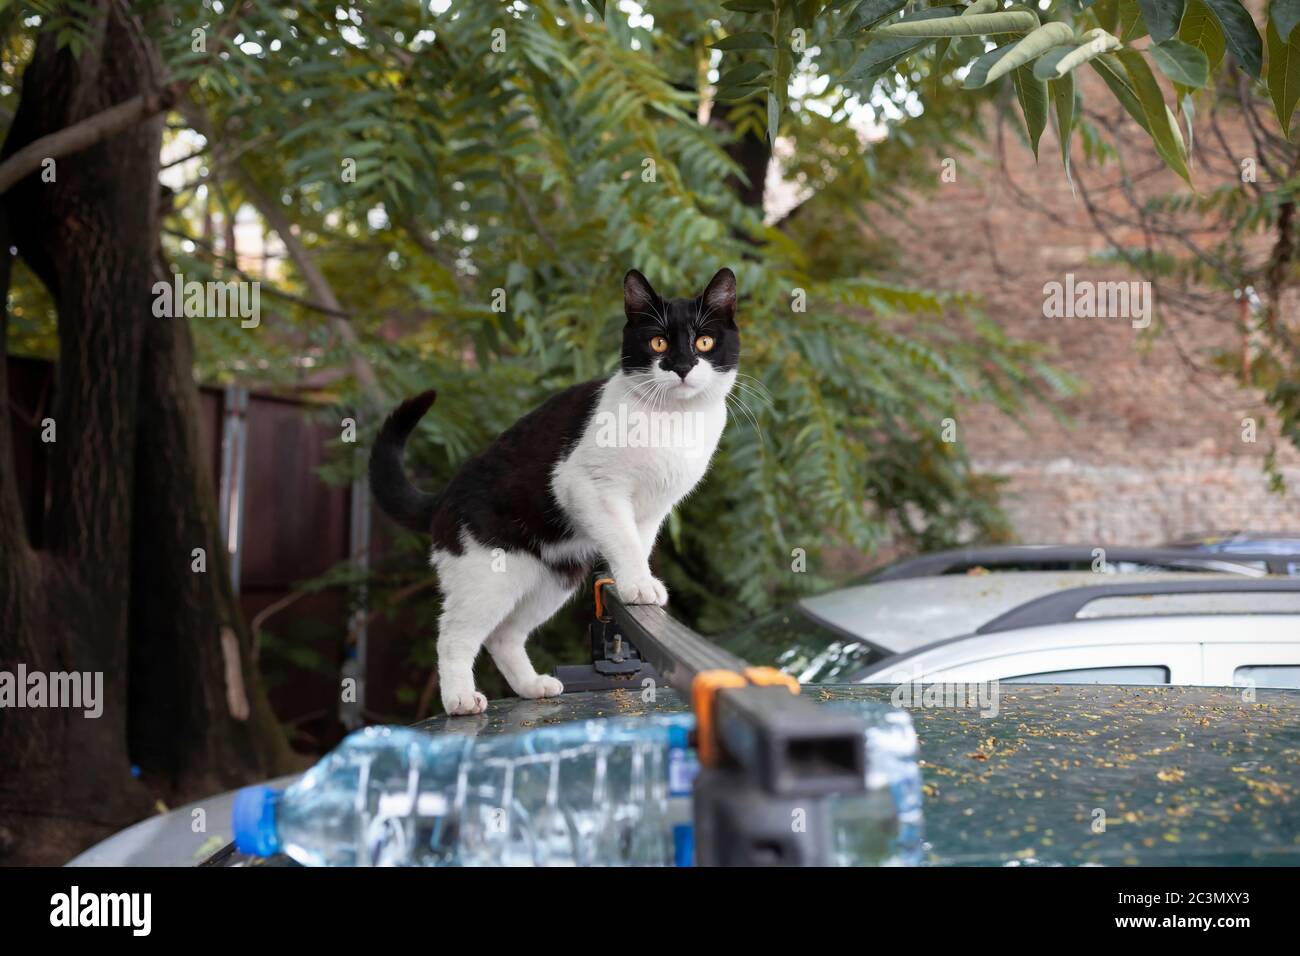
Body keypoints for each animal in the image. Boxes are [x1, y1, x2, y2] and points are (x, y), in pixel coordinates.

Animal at [371, 265, 738, 712]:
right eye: (659, 341)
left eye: (704, 341)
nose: (683, 366)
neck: (674, 418)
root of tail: (444, 496)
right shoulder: (583, 485)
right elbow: (623, 538)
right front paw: (638, 584)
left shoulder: (653, 509)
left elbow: (637, 541)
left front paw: (630, 581)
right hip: (485, 577)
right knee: (454, 634)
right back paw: (459, 698)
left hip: (551, 579)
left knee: (503, 635)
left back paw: (531, 686)